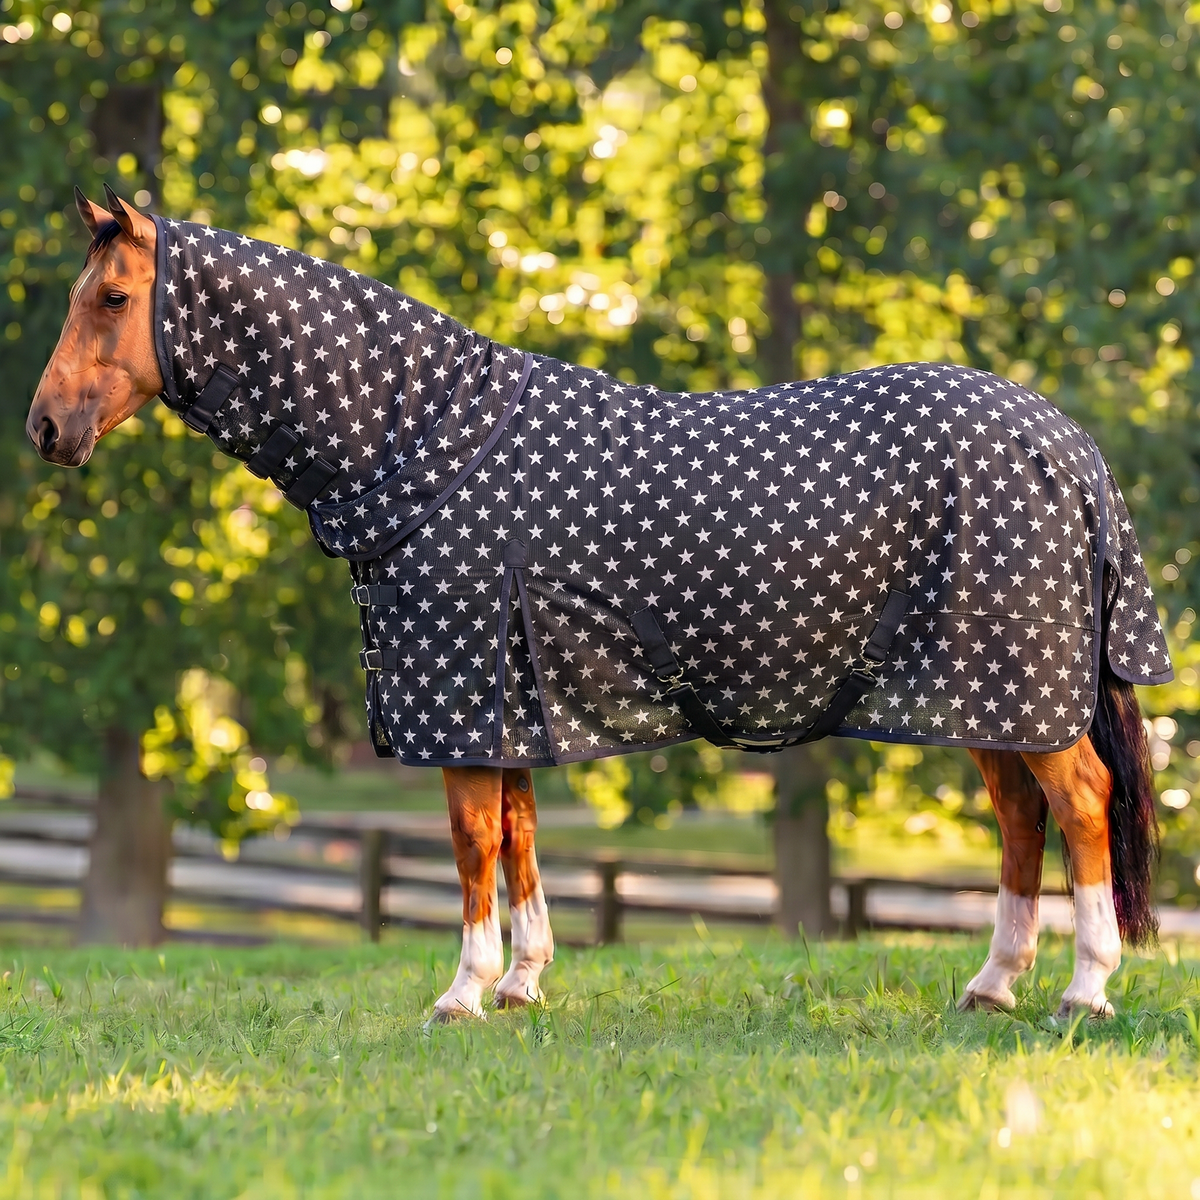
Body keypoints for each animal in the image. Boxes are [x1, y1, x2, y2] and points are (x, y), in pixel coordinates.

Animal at [27, 188, 1170, 1020]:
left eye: (113, 299)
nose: (43, 428)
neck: (424, 440)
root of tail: (1066, 447)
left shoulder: (462, 694)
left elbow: (473, 846)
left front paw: (462, 993)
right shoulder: (512, 700)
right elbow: (525, 838)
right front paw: (525, 982)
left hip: (1016, 683)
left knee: (1079, 803)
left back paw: (1085, 990)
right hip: (988, 698)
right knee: (1022, 816)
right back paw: (993, 985)